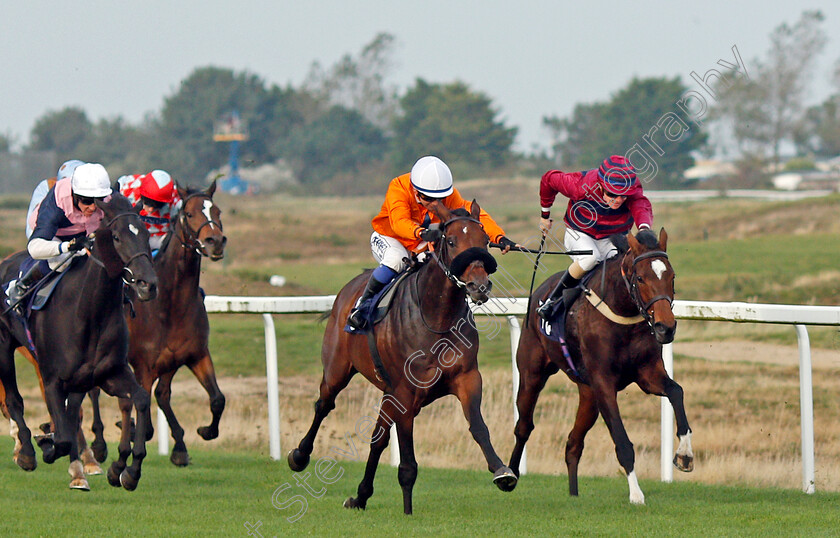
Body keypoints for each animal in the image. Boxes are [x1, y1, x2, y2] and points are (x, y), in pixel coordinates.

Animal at [0, 191, 158, 488]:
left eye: (145, 233)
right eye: (117, 236)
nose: (148, 284)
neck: (89, 311)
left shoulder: (109, 373)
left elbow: (141, 398)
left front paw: (126, 471)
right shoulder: (52, 378)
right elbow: (60, 438)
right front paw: (46, 444)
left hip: (80, 379)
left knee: (73, 411)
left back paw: (80, 468)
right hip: (4, 347)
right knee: (15, 400)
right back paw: (26, 452)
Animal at [103, 178, 228, 466]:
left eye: (217, 212)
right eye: (190, 214)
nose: (215, 241)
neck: (170, 306)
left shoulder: (192, 355)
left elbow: (216, 398)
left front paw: (201, 434)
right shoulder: (144, 365)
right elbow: (144, 409)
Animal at [286, 200, 516, 510]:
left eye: (484, 241)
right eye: (452, 241)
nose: (479, 286)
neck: (437, 317)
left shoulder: (466, 378)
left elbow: (478, 426)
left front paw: (503, 472)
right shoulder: (406, 393)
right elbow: (407, 463)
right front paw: (407, 510)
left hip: (386, 392)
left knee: (377, 439)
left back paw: (360, 496)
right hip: (337, 369)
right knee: (324, 404)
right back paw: (299, 456)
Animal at [508, 226, 692, 502]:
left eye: (671, 276)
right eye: (640, 278)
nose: (665, 327)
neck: (622, 313)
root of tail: (539, 291)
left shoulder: (648, 374)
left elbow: (676, 391)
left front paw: (684, 454)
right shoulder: (603, 383)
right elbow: (622, 442)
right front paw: (636, 494)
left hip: (588, 395)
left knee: (573, 444)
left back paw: (573, 494)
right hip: (532, 374)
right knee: (523, 426)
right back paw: (508, 476)